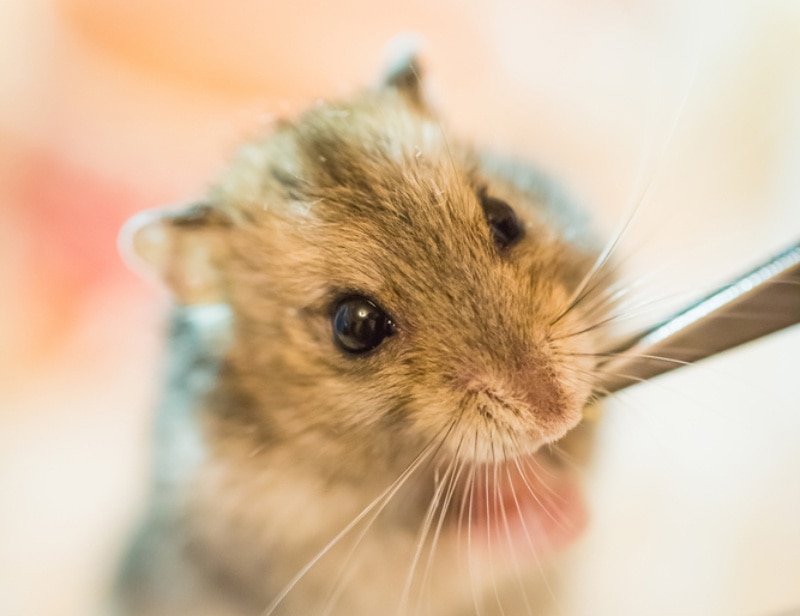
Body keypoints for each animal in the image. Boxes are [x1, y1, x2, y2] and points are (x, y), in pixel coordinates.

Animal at [112, 55, 612, 612]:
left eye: (504, 218)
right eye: (354, 325)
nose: (559, 416)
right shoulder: (330, 558)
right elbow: (460, 552)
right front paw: (558, 506)